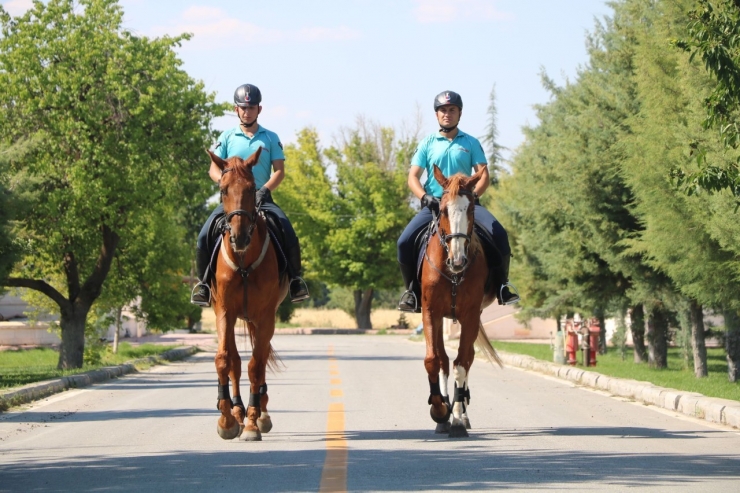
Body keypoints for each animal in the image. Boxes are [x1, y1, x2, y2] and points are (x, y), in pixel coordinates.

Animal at [208, 147, 292, 442]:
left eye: (253, 188)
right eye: (222, 190)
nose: (240, 237)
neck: (243, 261)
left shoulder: (266, 316)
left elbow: (256, 365)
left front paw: (253, 423)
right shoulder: (224, 312)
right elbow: (224, 360)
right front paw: (226, 420)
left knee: (261, 358)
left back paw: (260, 413)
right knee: (234, 360)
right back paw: (236, 412)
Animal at [422, 163, 502, 436]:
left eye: (471, 209)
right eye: (443, 209)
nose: (458, 261)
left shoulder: (470, 315)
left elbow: (461, 364)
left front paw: (457, 418)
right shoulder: (430, 312)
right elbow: (434, 360)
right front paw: (439, 410)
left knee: (466, 359)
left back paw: (462, 412)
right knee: (444, 360)